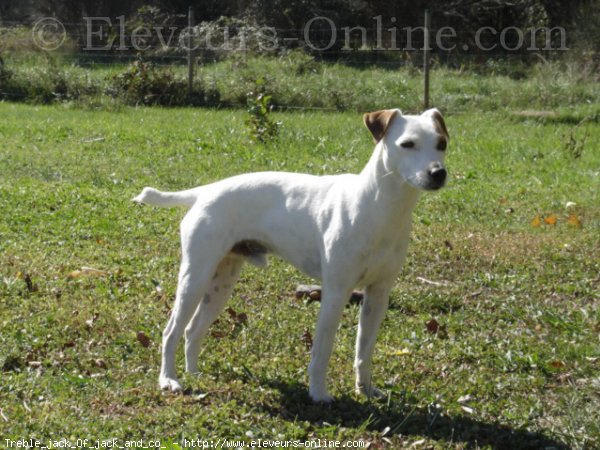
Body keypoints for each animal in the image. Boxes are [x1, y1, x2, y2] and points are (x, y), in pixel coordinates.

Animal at [134, 108, 448, 400]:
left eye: (442, 143)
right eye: (407, 144)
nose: (438, 173)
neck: (380, 206)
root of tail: (204, 192)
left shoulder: (378, 295)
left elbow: (364, 351)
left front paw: (366, 389)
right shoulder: (336, 293)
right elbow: (322, 351)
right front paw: (318, 394)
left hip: (220, 285)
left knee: (192, 330)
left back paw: (194, 373)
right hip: (195, 278)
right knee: (171, 331)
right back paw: (169, 379)